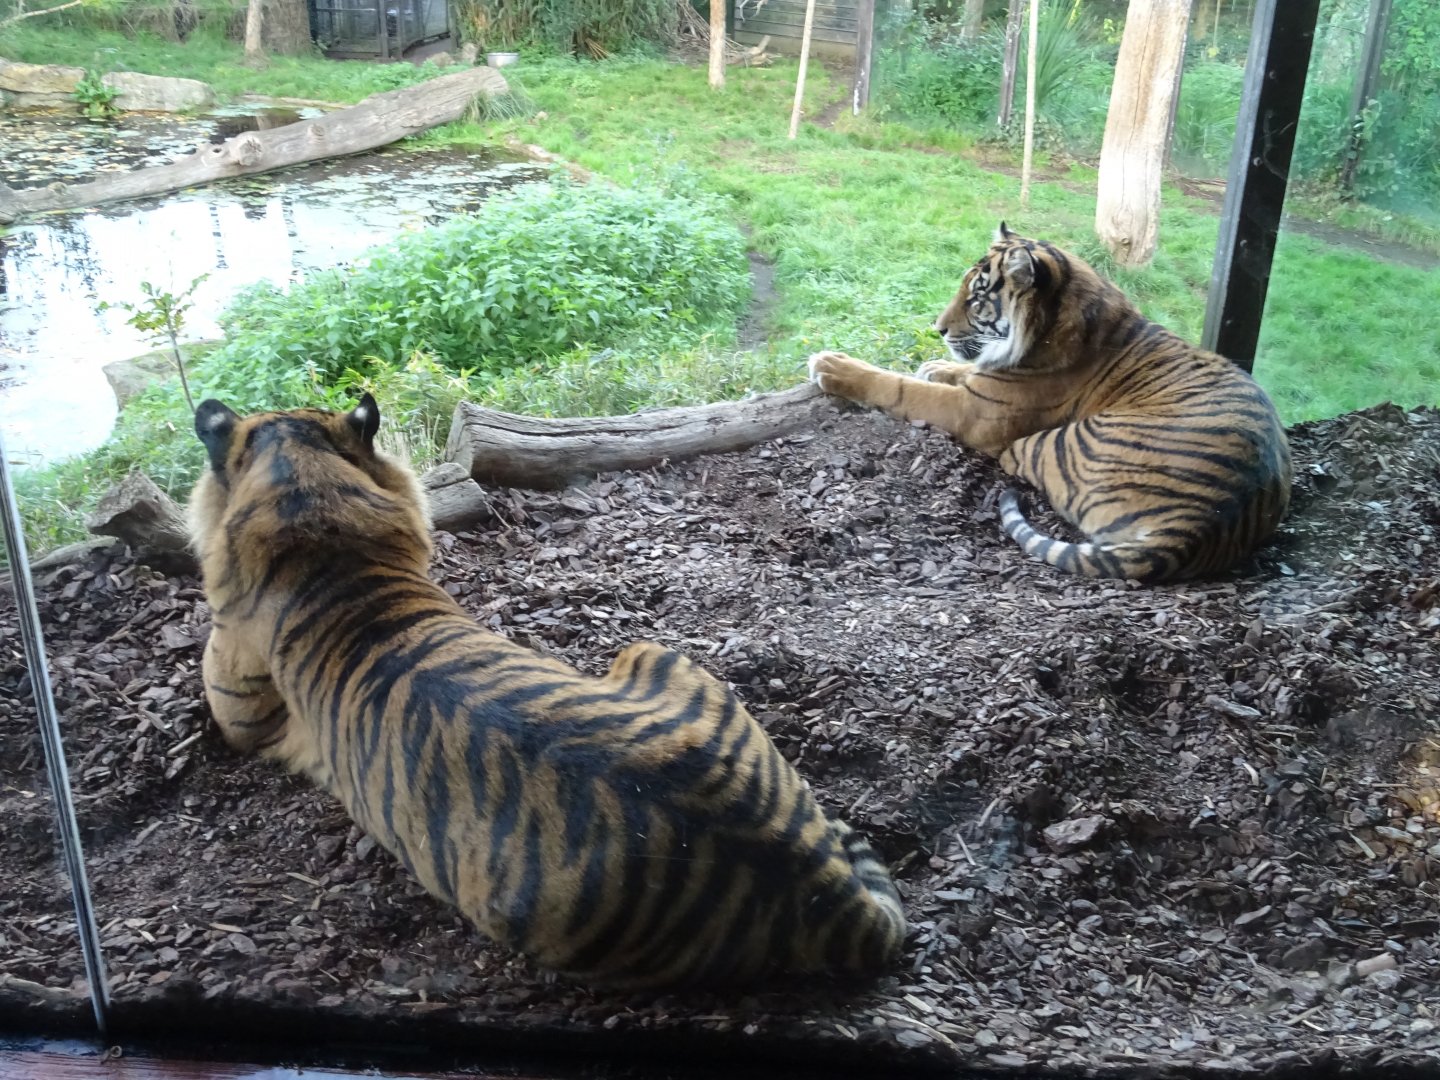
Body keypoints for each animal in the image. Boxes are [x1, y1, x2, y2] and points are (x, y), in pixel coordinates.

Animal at [807, 223, 1293, 582]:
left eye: (977, 297)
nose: (938, 329)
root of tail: (1196, 526)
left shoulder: (976, 412)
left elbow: (902, 387)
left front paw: (834, 367)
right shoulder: (986, 383)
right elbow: (962, 371)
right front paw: (934, 365)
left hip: (1057, 441)